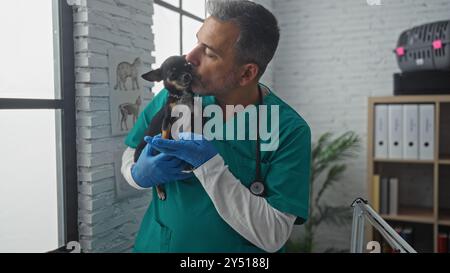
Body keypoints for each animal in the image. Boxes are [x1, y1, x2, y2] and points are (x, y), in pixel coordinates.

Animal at [134, 55, 196, 200]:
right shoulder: (167, 120)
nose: (187, 76)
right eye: (172, 74)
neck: (181, 97)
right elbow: (165, 134)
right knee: (154, 178)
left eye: (188, 66)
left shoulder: (190, 118)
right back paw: (160, 191)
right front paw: (164, 145)